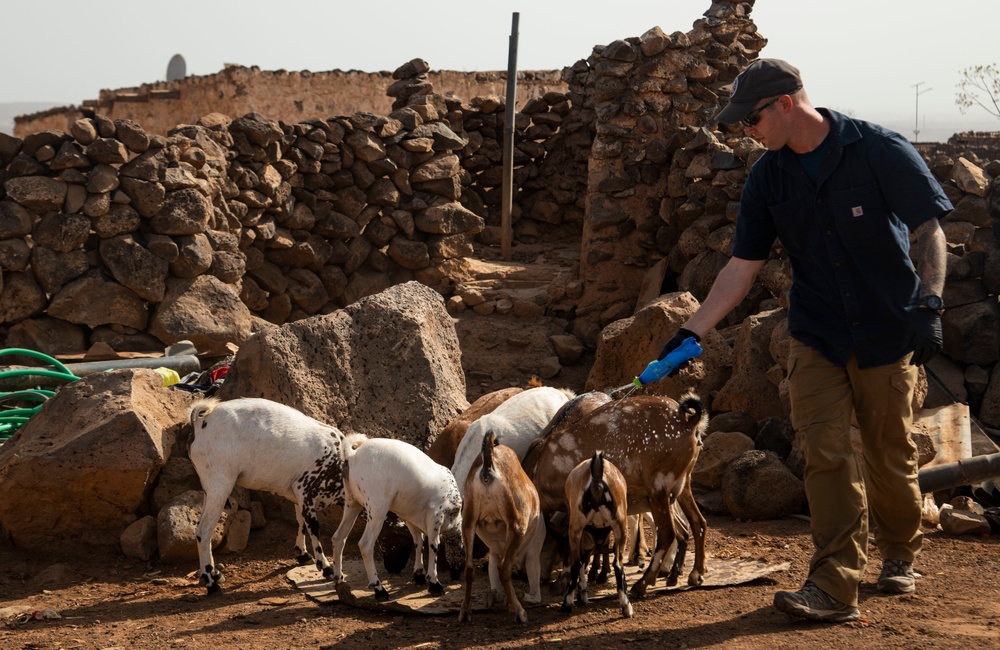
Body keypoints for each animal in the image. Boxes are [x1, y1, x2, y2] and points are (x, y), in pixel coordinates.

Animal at [188, 394, 348, 592]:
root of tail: (201, 421)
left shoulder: (298, 496)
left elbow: (301, 522)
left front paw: (301, 554)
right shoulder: (306, 491)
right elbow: (313, 528)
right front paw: (326, 567)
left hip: (208, 488)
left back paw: (215, 574)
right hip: (220, 485)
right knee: (203, 530)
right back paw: (210, 581)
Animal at [332, 432, 464, 600]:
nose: (457, 572)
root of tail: (353, 455)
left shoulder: (410, 517)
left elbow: (418, 541)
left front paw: (418, 575)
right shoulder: (435, 514)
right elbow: (433, 545)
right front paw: (434, 583)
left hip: (352, 503)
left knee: (338, 537)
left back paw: (339, 579)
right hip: (377, 508)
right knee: (365, 544)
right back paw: (379, 589)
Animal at [528, 388, 708, 596]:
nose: (539, 577)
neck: (539, 466)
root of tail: (689, 421)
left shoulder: (573, 504)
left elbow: (575, 540)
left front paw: (565, 581)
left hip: (660, 487)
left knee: (667, 534)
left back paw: (642, 583)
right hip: (683, 483)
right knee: (698, 522)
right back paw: (695, 573)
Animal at [564, 448, 632, 616]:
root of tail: (596, 475)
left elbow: (582, 562)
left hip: (577, 528)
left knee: (577, 562)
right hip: (619, 526)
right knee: (617, 564)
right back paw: (626, 606)